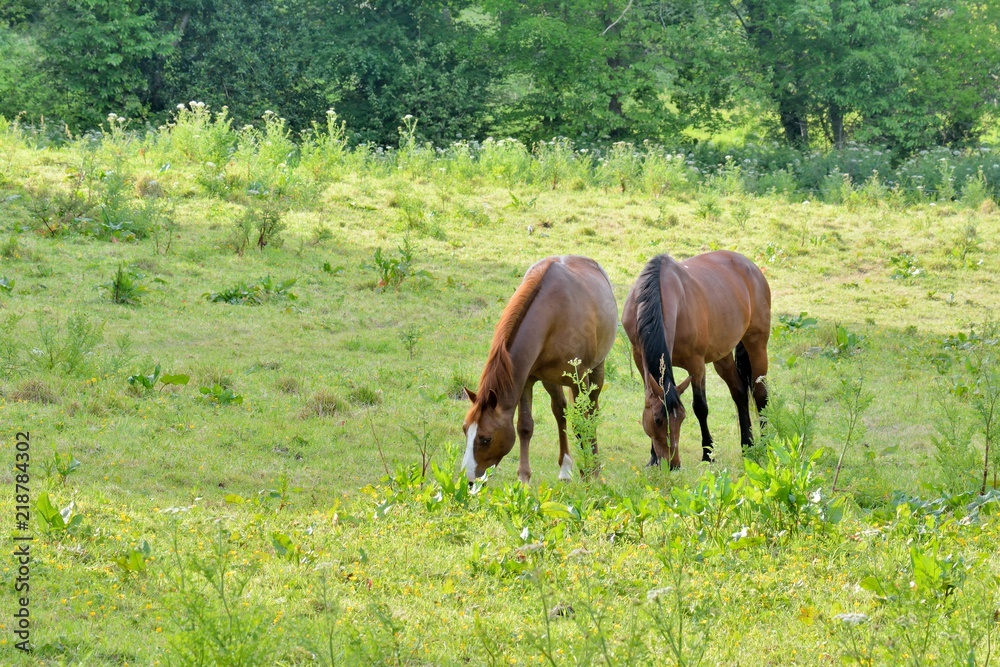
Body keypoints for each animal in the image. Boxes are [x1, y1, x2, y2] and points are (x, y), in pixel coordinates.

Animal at [462, 253, 616, 482]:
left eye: (486, 439)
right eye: (465, 430)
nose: (469, 479)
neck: (554, 314)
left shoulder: (579, 378)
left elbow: (582, 423)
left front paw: (590, 474)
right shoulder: (526, 379)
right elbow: (525, 427)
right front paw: (523, 479)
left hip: (596, 370)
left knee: (591, 411)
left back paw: (593, 466)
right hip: (550, 380)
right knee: (560, 411)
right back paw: (565, 469)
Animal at [620, 252, 768, 470]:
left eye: (682, 418)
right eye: (657, 420)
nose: (674, 464)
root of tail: (752, 267)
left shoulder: (696, 365)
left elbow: (700, 407)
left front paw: (708, 454)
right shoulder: (639, 358)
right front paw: (653, 457)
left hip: (757, 343)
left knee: (760, 394)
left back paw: (766, 442)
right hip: (722, 356)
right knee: (739, 392)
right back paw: (747, 444)